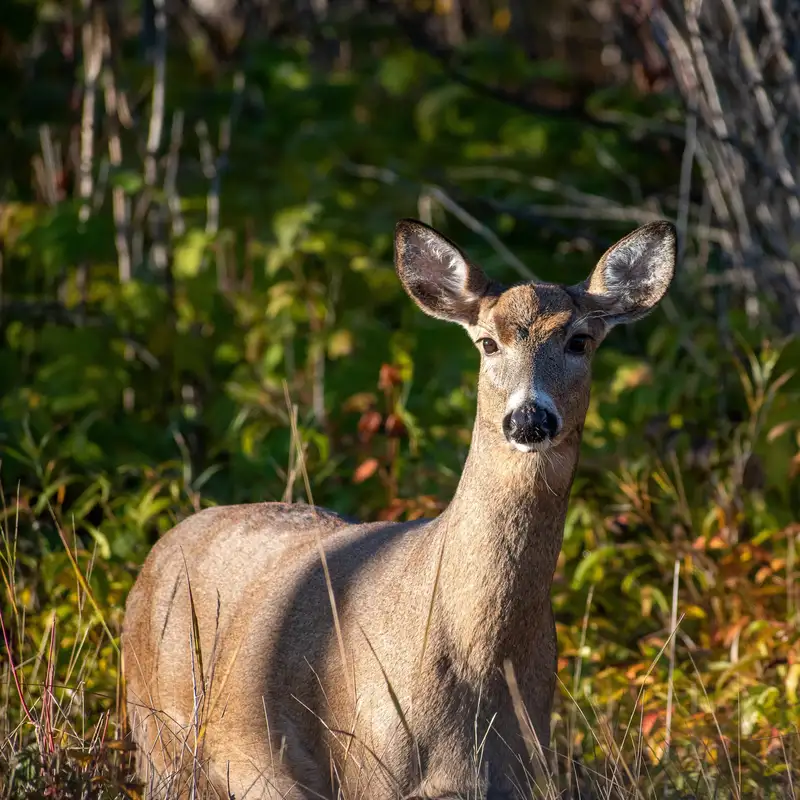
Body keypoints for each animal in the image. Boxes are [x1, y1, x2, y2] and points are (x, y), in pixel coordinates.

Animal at [123, 218, 676, 800]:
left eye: (579, 341)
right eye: (487, 342)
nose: (529, 419)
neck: (476, 661)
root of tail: (159, 550)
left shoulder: (521, 772)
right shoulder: (368, 768)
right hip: (159, 742)